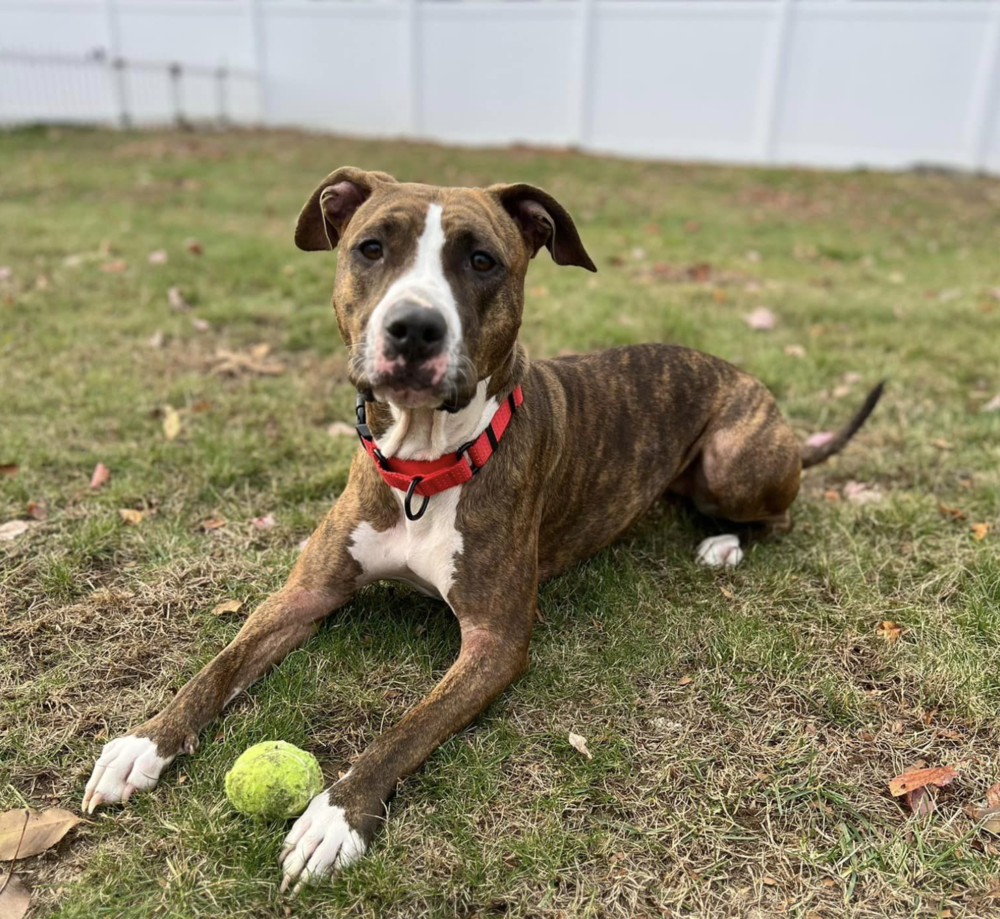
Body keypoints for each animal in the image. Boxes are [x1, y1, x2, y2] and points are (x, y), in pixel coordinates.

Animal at [86, 167, 884, 892]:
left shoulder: (494, 642)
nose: (414, 327)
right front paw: (143, 743)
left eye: (482, 261)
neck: (424, 467)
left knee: (777, 512)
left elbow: (407, 728)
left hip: (735, 460)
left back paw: (723, 542)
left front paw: (334, 816)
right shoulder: (305, 593)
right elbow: (219, 663)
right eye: (371, 247)